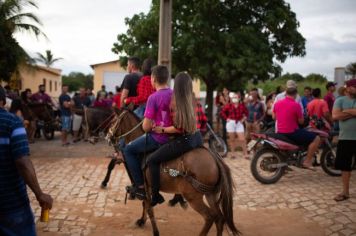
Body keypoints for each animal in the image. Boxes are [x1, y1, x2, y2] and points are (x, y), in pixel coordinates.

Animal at [105, 108, 239, 236]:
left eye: (113, 121)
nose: (108, 136)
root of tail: (214, 158)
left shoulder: (145, 187)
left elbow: (148, 208)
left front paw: (155, 231)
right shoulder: (148, 188)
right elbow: (146, 205)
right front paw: (142, 221)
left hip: (193, 197)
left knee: (210, 217)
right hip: (211, 194)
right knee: (220, 218)